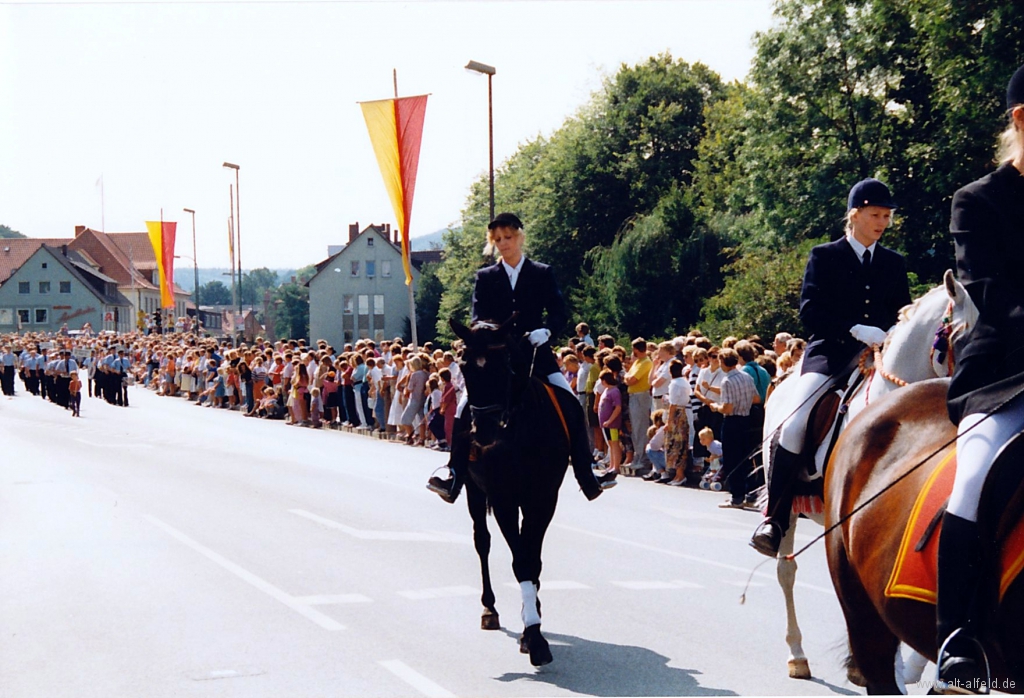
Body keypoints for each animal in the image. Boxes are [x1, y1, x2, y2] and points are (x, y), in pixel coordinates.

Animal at [452, 315, 589, 663]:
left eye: (504, 365)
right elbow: (520, 560)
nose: (482, 433)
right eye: (464, 365)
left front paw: (533, 626)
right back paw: (489, 609)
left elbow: (532, 559)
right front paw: (534, 633)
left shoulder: (544, 498)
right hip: (474, 491)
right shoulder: (504, 499)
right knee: (482, 542)